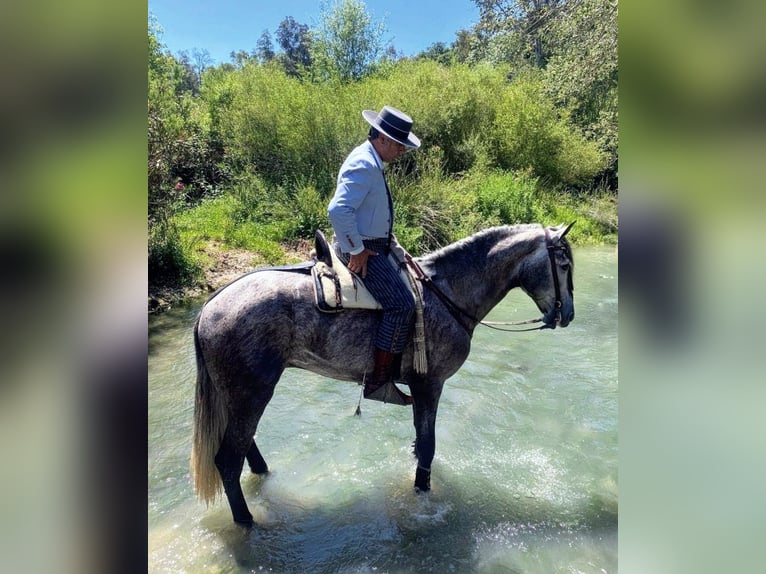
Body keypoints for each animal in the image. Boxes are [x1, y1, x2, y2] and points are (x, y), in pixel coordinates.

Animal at [191, 222, 575, 525]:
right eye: (564, 264)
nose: (567, 314)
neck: (447, 293)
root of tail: (210, 306)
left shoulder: (422, 389)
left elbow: (420, 442)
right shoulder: (430, 385)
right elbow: (428, 446)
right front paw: (421, 493)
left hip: (241, 396)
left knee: (245, 447)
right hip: (252, 393)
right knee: (227, 460)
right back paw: (246, 522)